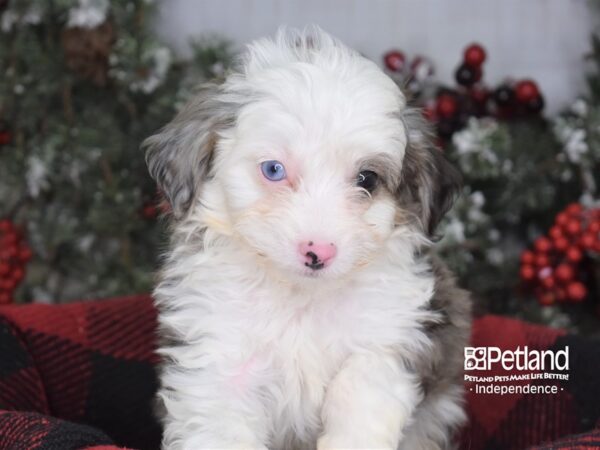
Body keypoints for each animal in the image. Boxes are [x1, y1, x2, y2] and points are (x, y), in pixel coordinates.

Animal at [143, 28, 472, 450]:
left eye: (367, 179)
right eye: (273, 169)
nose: (319, 252)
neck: (302, 298)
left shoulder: (393, 338)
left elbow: (360, 396)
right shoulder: (218, 358)